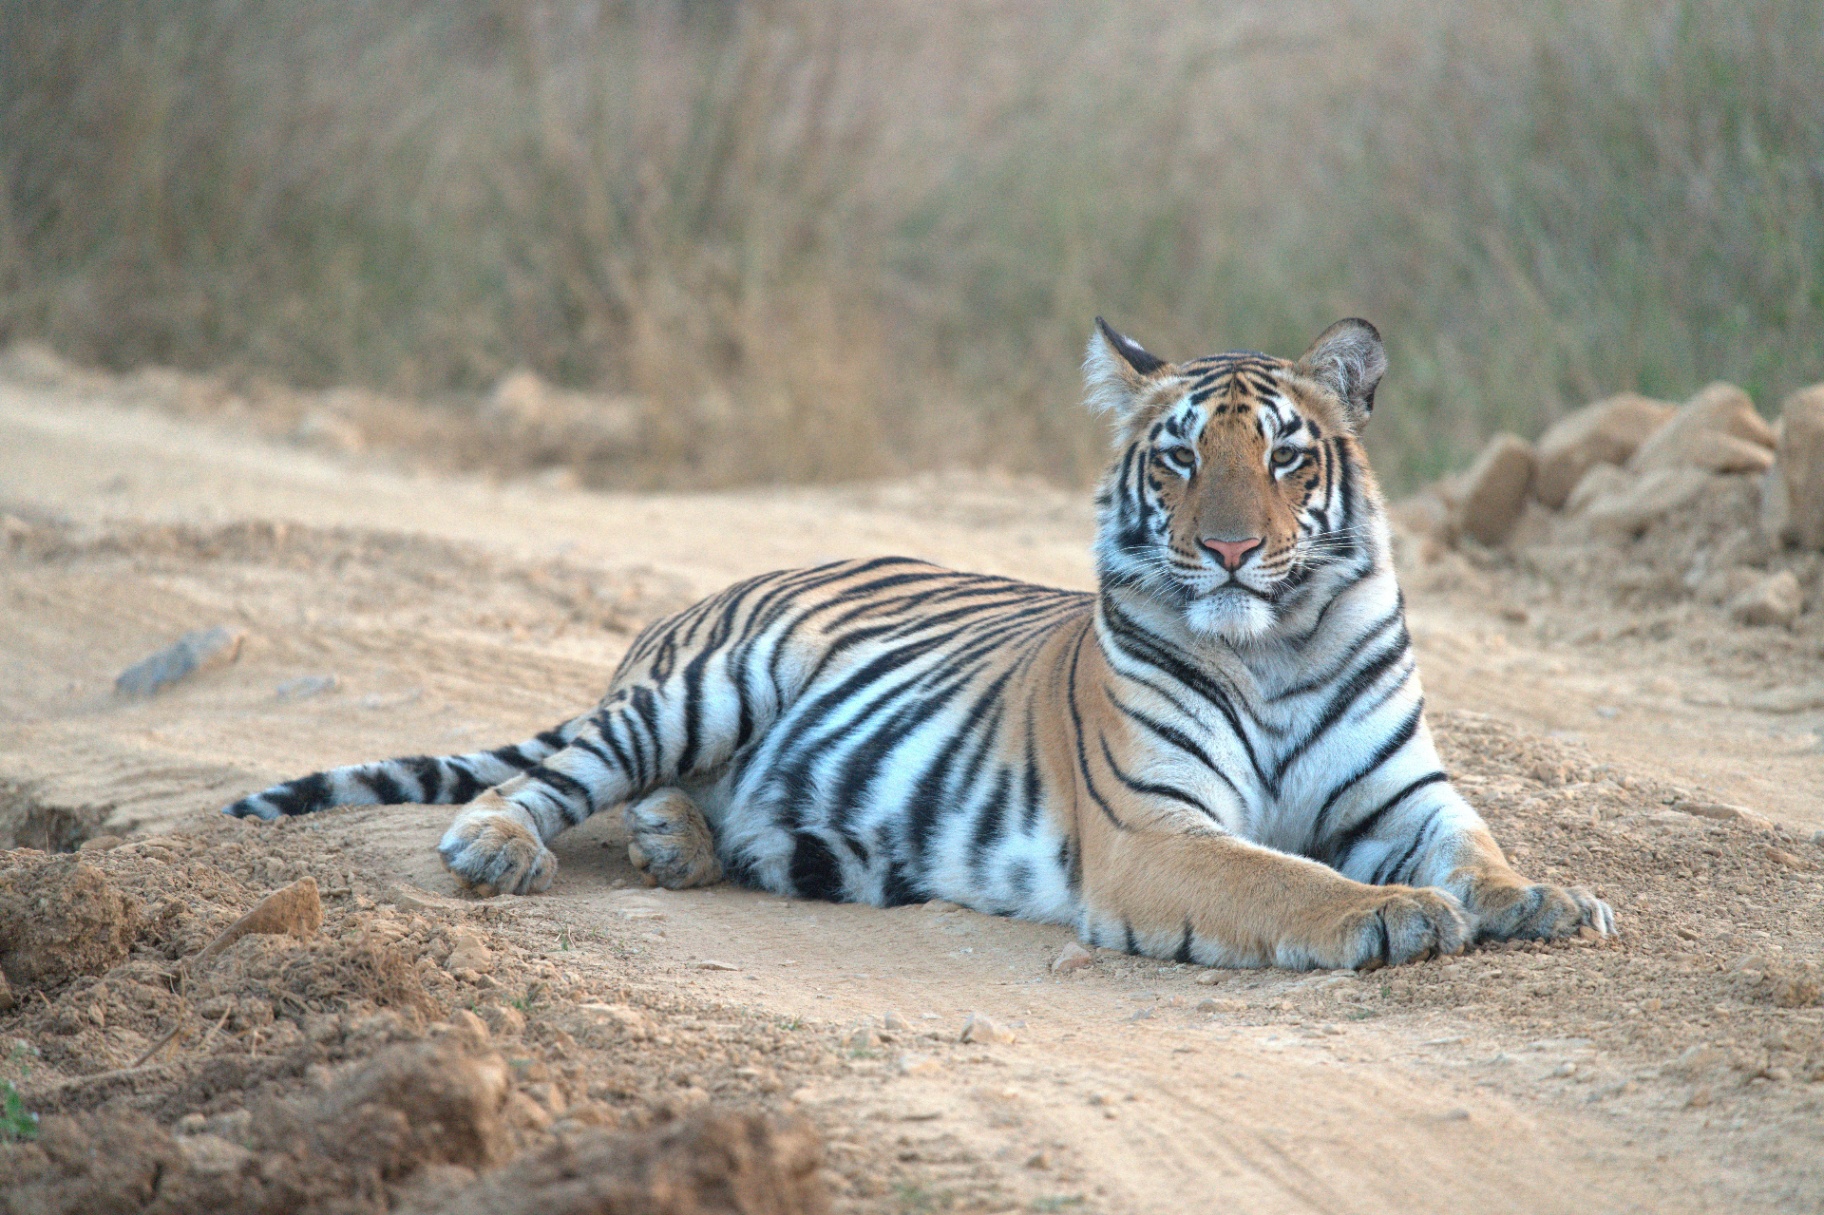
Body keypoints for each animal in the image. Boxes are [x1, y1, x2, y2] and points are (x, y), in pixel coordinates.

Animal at [225, 318, 1614, 968]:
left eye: (1283, 457)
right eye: (1178, 458)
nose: (1224, 551)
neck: (1274, 647)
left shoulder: (1405, 790)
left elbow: (1480, 846)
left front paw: (1544, 898)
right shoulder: (1157, 832)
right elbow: (1288, 879)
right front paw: (1397, 913)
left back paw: (679, 840)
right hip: (703, 690)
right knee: (558, 775)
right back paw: (501, 847)